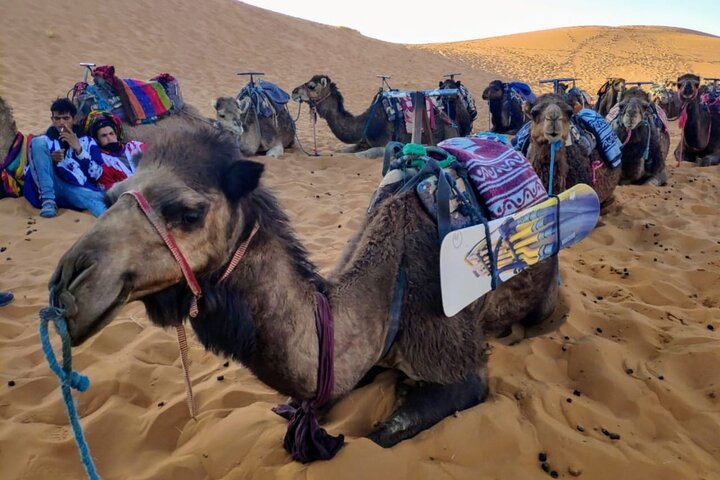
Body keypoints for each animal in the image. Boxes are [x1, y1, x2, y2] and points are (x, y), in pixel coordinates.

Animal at [50, 128, 560, 455]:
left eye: (189, 214)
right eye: (111, 195)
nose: (66, 285)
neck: (387, 288)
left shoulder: (458, 361)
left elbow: (382, 435)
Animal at [291, 75, 470, 158]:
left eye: (311, 86)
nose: (293, 92)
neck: (366, 123)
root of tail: (451, 120)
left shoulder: (384, 146)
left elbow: (358, 156)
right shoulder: (362, 142)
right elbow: (341, 151)